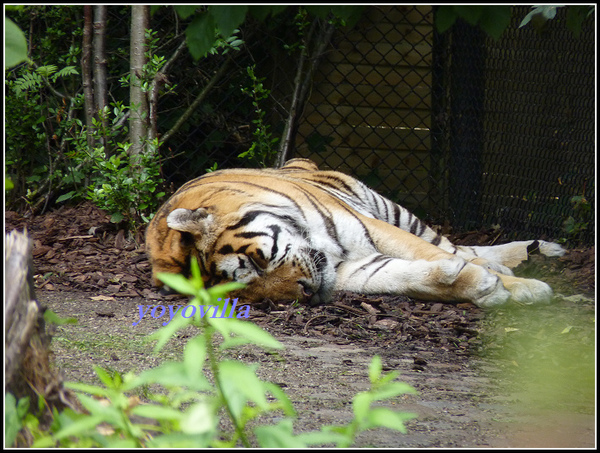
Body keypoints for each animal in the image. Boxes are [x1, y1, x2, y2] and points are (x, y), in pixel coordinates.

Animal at [144, 156, 564, 308]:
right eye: (249, 294)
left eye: (257, 262)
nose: (307, 293)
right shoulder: (347, 270)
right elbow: (401, 276)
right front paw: (478, 286)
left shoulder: (372, 228)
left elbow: (433, 253)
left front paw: (522, 288)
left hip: (389, 208)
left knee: (451, 244)